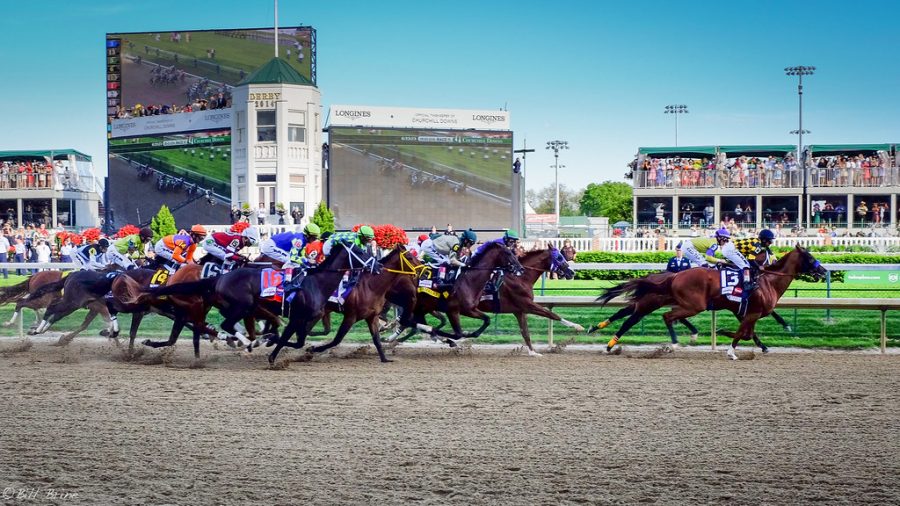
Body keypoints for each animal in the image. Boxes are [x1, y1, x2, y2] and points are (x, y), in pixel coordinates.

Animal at [596, 246, 828, 360]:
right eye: (809, 257)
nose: (823, 270)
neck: (766, 280)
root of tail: (674, 276)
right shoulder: (750, 312)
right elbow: (743, 333)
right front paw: (731, 350)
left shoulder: (744, 312)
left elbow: (749, 333)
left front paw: (759, 345)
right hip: (687, 304)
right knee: (659, 316)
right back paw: (672, 342)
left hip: (665, 302)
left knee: (632, 313)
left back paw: (602, 333)